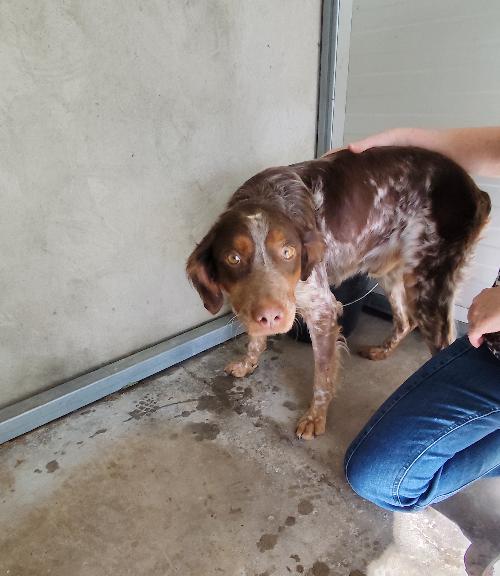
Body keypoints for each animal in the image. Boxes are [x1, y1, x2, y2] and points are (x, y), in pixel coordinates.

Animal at [186, 147, 491, 439]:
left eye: (288, 252)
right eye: (233, 258)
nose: (272, 317)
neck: (267, 195)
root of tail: (476, 190)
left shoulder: (323, 310)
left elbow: (322, 375)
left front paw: (315, 418)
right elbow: (255, 339)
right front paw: (248, 363)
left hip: (430, 284)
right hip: (390, 270)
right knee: (405, 320)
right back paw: (381, 351)